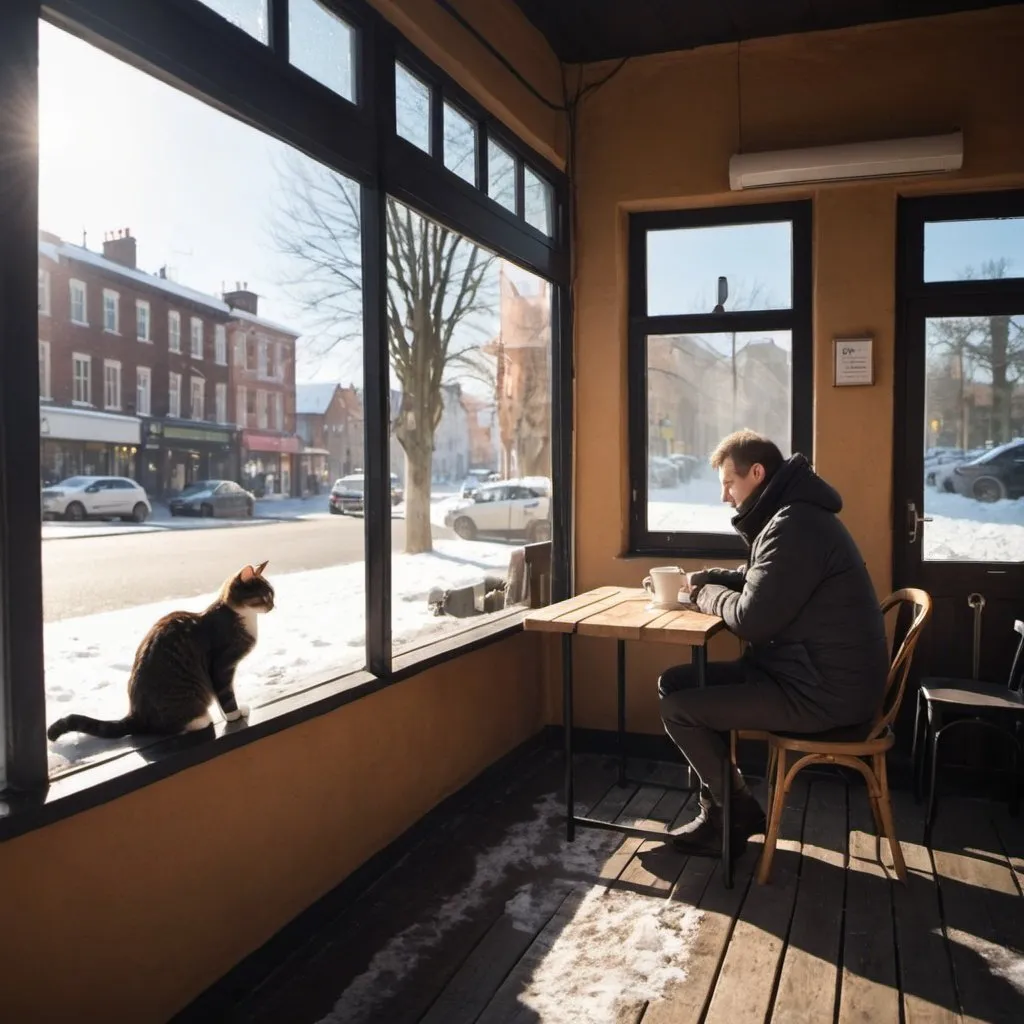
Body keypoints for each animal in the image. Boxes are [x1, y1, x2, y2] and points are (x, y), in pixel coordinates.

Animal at [47, 565, 274, 741]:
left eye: (273, 595)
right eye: (265, 596)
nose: (273, 605)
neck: (240, 615)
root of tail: (135, 715)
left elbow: (220, 698)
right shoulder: (222, 665)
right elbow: (226, 695)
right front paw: (235, 715)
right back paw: (200, 720)